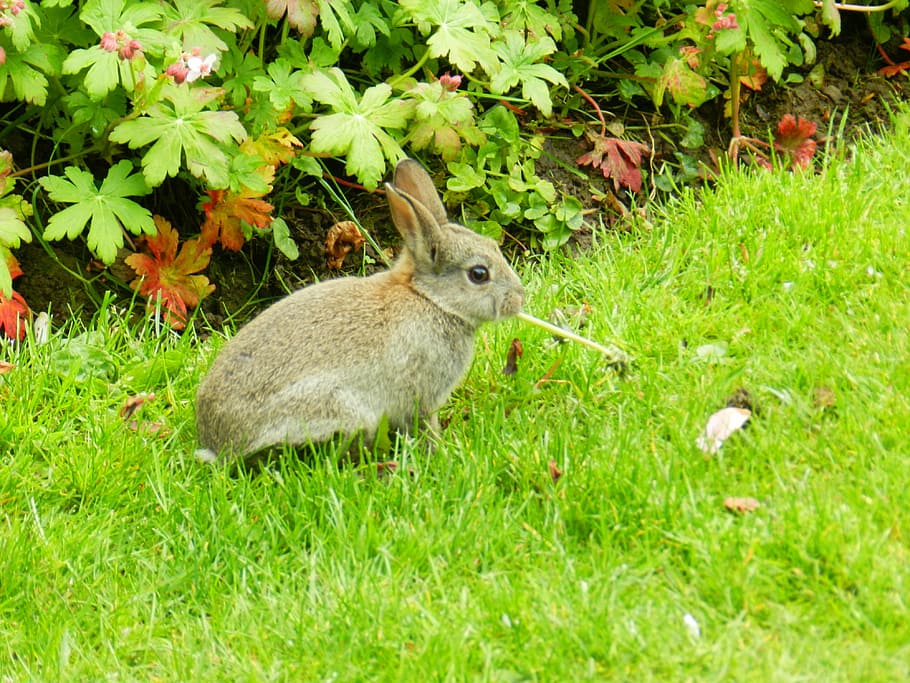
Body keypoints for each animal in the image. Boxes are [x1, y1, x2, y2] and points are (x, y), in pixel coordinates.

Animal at [195, 158, 525, 463]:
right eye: (479, 274)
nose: (519, 300)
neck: (429, 298)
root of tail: (218, 445)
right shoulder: (420, 394)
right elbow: (424, 424)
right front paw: (438, 452)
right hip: (339, 408)